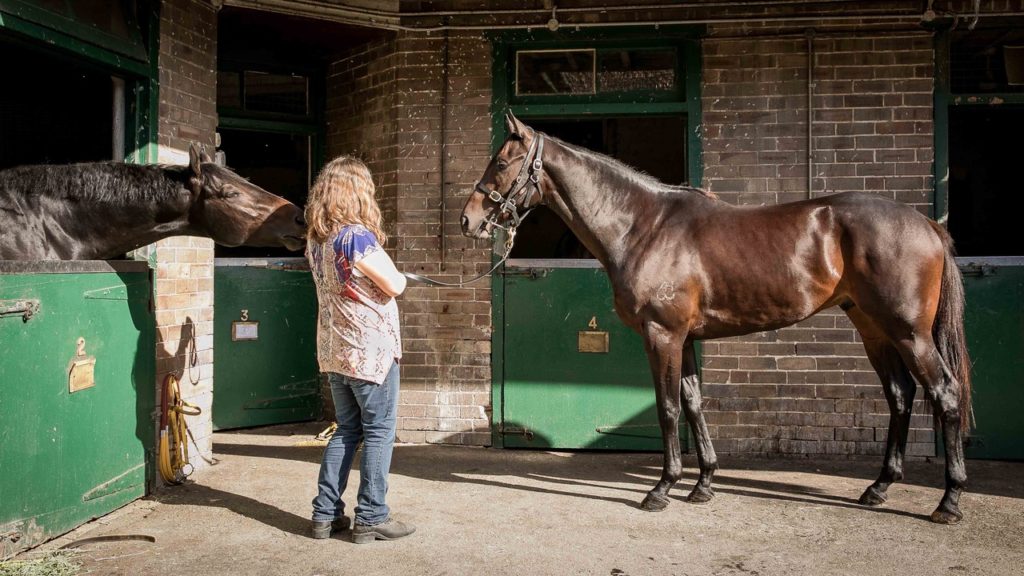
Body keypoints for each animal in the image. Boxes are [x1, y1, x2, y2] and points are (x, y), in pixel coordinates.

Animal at [464, 112, 974, 524]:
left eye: (502, 163)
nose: (469, 220)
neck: (642, 226)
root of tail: (928, 225)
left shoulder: (662, 335)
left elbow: (668, 408)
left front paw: (662, 488)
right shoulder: (685, 338)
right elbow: (693, 402)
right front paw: (703, 484)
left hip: (910, 333)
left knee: (945, 394)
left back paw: (948, 501)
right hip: (874, 330)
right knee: (900, 397)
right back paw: (879, 487)